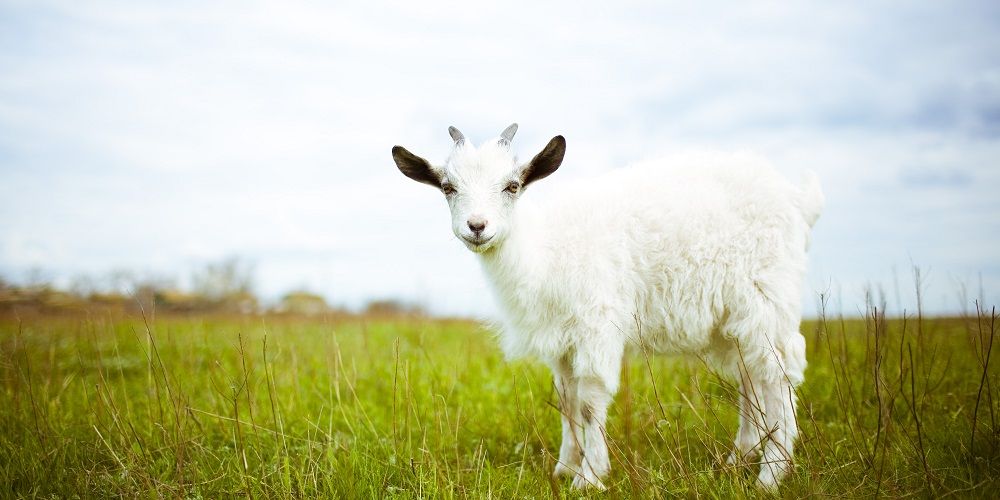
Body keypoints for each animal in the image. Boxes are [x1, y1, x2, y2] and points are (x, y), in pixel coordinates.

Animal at [390, 123, 820, 490]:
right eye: (448, 187)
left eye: (511, 186)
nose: (477, 227)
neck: (544, 251)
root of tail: (797, 199)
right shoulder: (561, 339)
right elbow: (566, 398)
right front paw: (564, 467)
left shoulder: (596, 325)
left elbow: (589, 400)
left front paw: (590, 476)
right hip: (735, 317)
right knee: (752, 377)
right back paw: (739, 459)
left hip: (768, 295)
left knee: (779, 373)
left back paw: (771, 474)